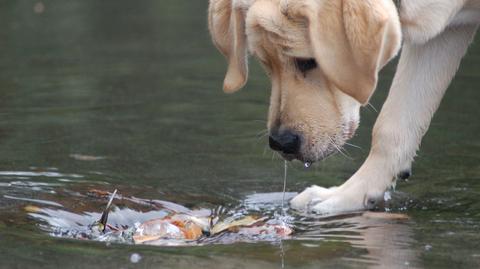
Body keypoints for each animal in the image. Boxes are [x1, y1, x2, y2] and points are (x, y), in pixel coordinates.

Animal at [209, 0, 480, 214]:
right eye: (265, 63)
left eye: (308, 61)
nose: (281, 143)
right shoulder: (444, 34)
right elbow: (392, 125)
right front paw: (348, 195)